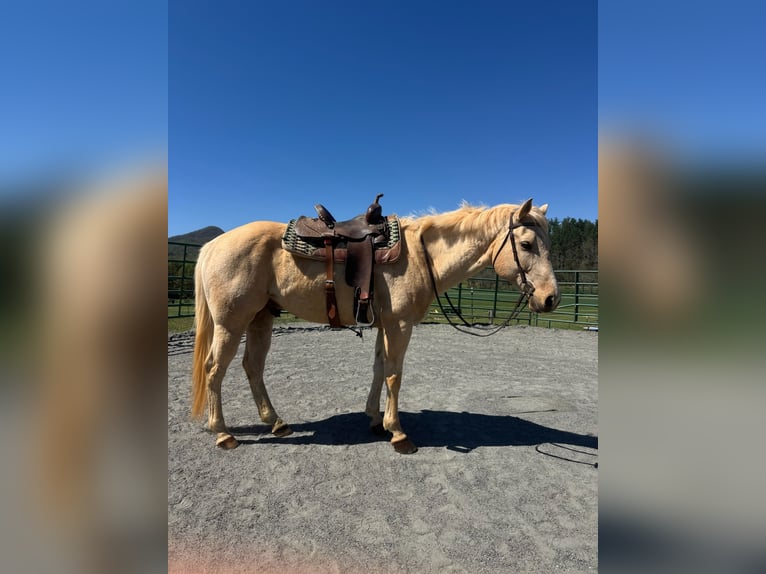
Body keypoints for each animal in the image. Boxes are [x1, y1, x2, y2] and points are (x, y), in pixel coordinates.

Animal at [191, 198, 560, 453]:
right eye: (526, 244)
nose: (550, 299)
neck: (423, 257)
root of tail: (213, 245)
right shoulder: (400, 325)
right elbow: (395, 374)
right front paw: (398, 432)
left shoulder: (385, 325)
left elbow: (379, 369)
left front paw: (374, 419)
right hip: (231, 323)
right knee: (214, 369)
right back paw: (223, 433)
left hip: (260, 319)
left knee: (252, 367)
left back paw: (276, 423)